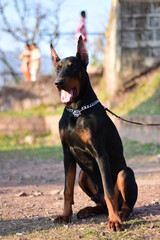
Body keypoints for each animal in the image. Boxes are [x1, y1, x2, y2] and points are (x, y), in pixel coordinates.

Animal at [50, 35, 138, 231]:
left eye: (72, 66)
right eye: (58, 68)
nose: (58, 83)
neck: (77, 110)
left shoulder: (100, 154)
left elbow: (109, 191)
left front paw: (114, 221)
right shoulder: (67, 154)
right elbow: (67, 190)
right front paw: (65, 216)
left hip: (125, 173)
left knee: (123, 202)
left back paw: (120, 214)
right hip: (83, 176)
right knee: (101, 203)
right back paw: (89, 210)